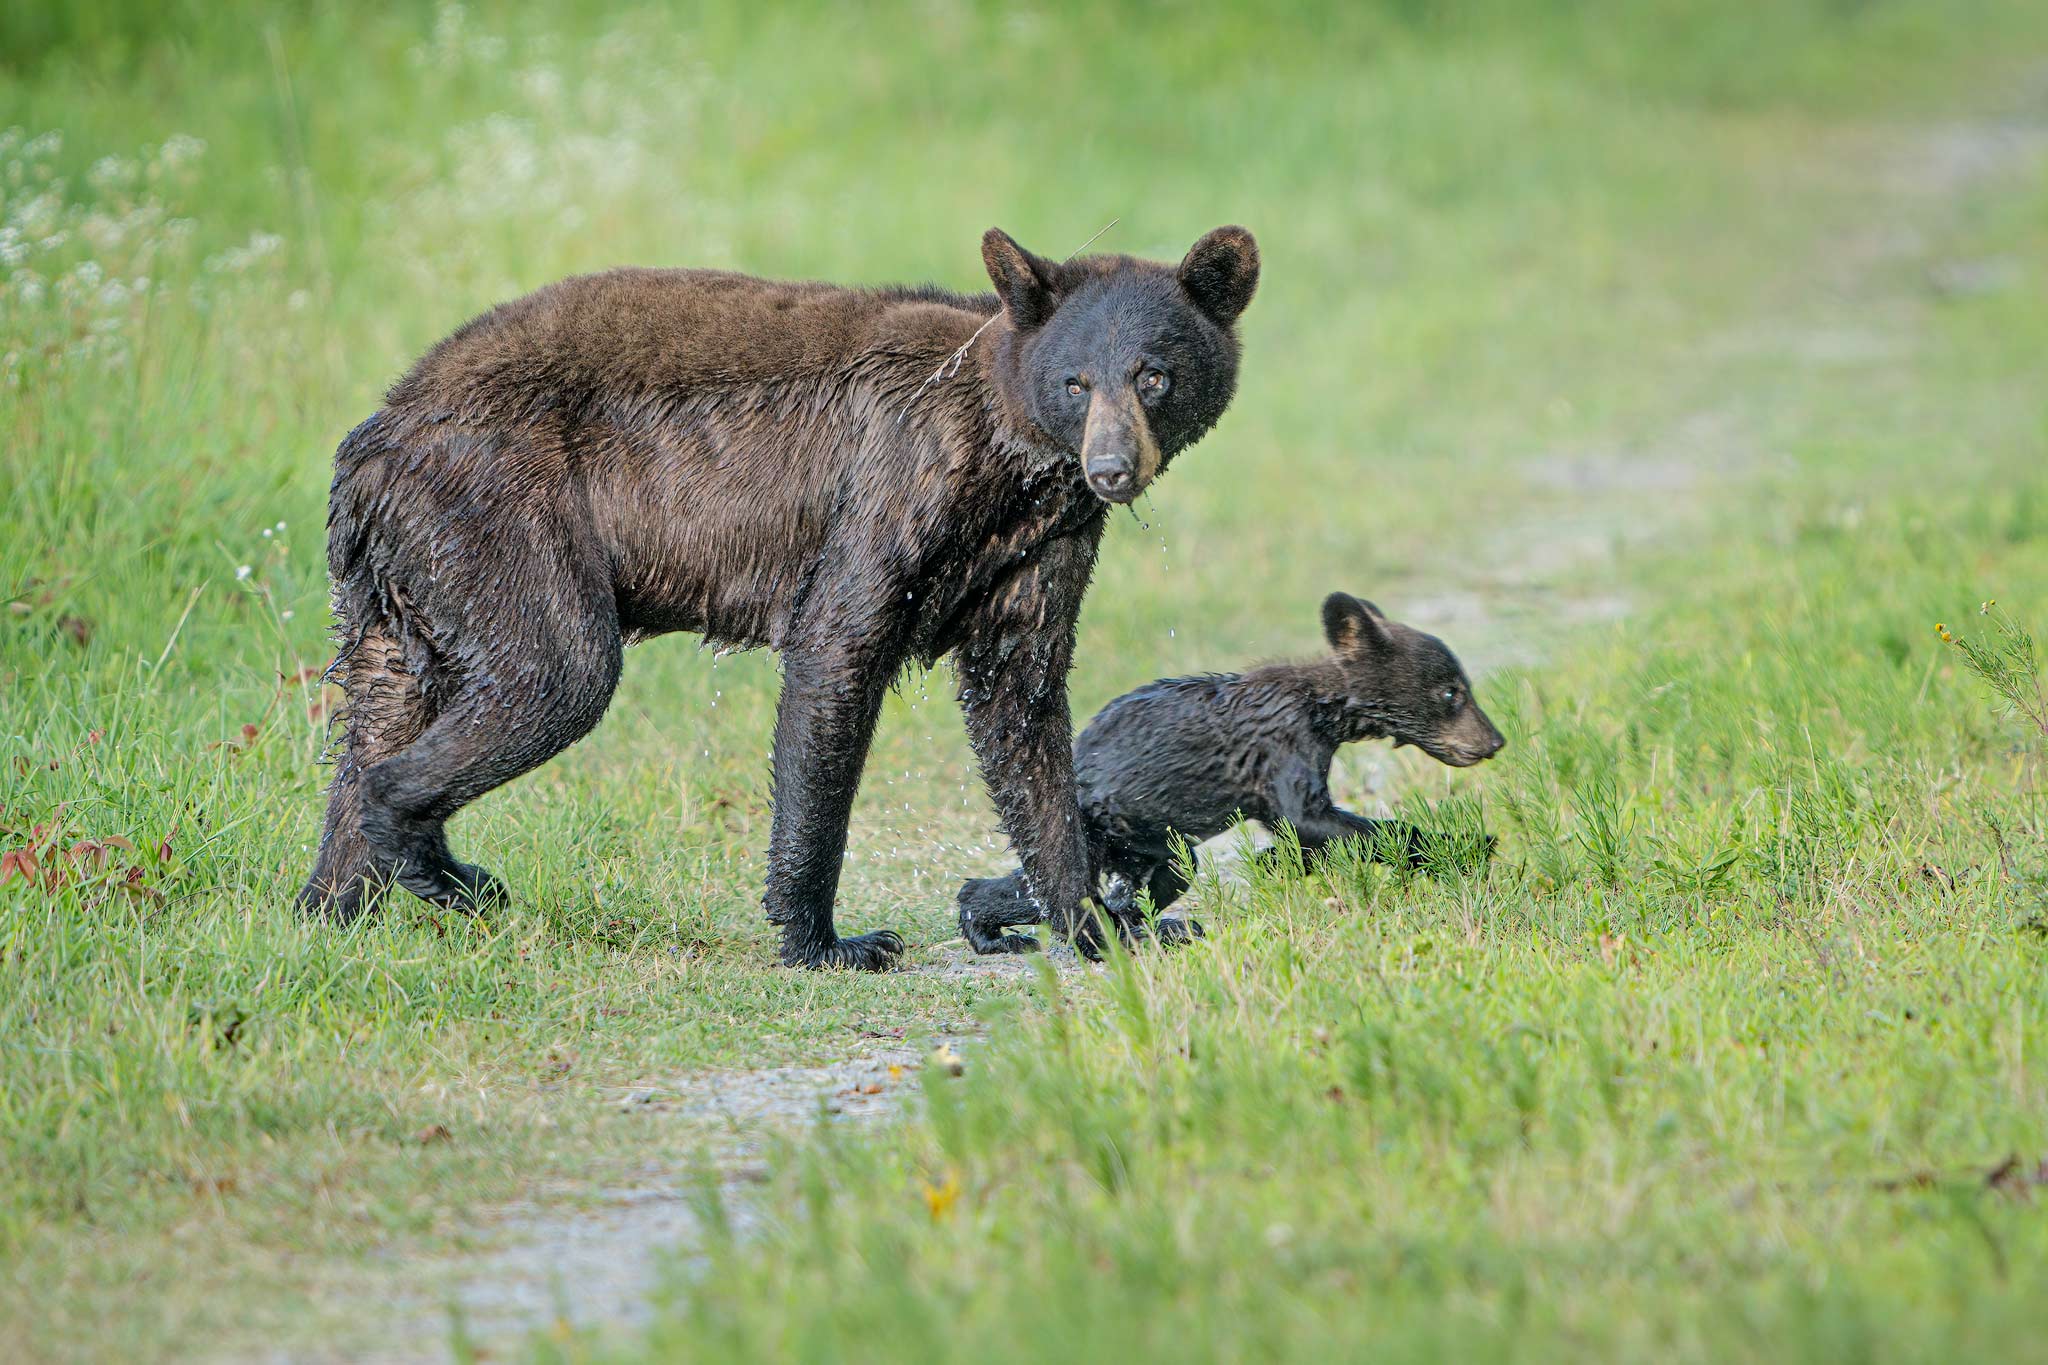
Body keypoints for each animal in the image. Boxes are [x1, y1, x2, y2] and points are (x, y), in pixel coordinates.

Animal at [296, 227, 1253, 970]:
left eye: (1154, 374)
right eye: (1076, 381)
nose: (1113, 468)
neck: (1007, 457)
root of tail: (371, 438)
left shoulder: (1040, 546)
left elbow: (1022, 707)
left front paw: (1101, 923)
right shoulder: (893, 486)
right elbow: (838, 658)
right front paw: (829, 939)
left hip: (408, 579)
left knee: (384, 706)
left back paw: (335, 899)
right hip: (499, 511)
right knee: (553, 673)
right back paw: (436, 866)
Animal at [958, 593, 1507, 957]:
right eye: (1452, 692)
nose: (1495, 741)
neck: (1324, 711)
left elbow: (1303, 832)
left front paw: (1275, 863)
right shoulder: (1283, 747)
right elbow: (1311, 818)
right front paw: (1466, 846)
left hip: (1144, 846)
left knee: (1140, 883)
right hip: (1104, 829)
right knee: (1065, 888)